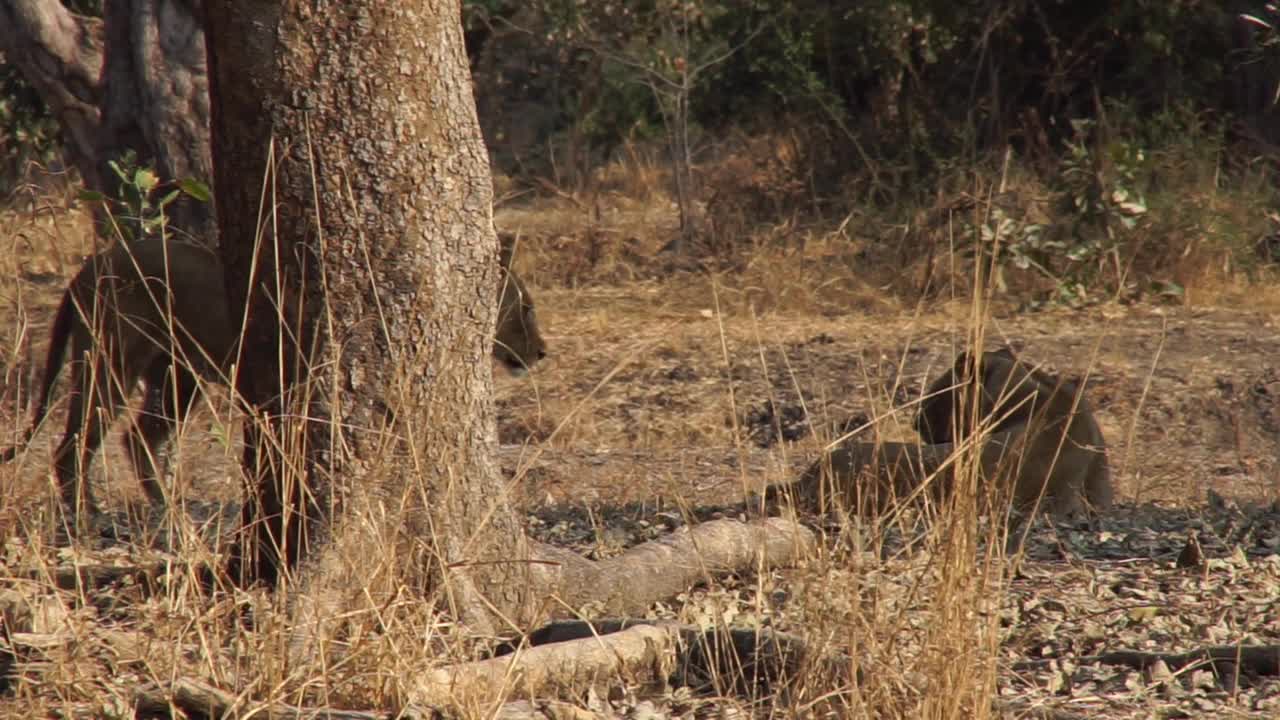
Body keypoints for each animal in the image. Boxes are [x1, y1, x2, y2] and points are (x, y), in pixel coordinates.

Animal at [0, 234, 545, 520]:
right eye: (526, 306)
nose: (542, 351)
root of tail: (89, 265)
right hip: (112, 360)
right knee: (74, 440)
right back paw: (86, 511)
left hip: (177, 374)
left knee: (140, 436)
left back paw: (169, 507)